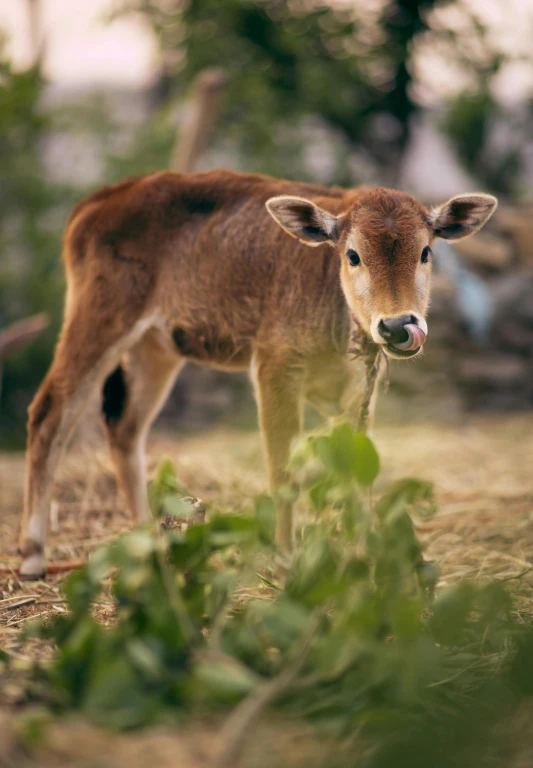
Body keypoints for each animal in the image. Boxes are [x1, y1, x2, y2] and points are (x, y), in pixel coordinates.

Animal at [18, 170, 496, 576]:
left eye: (426, 252)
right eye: (353, 255)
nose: (397, 326)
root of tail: (99, 200)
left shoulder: (359, 393)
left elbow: (355, 467)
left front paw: (361, 547)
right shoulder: (274, 370)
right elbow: (282, 468)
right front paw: (285, 556)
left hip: (155, 351)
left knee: (125, 429)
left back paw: (147, 541)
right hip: (99, 326)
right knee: (51, 413)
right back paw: (33, 556)